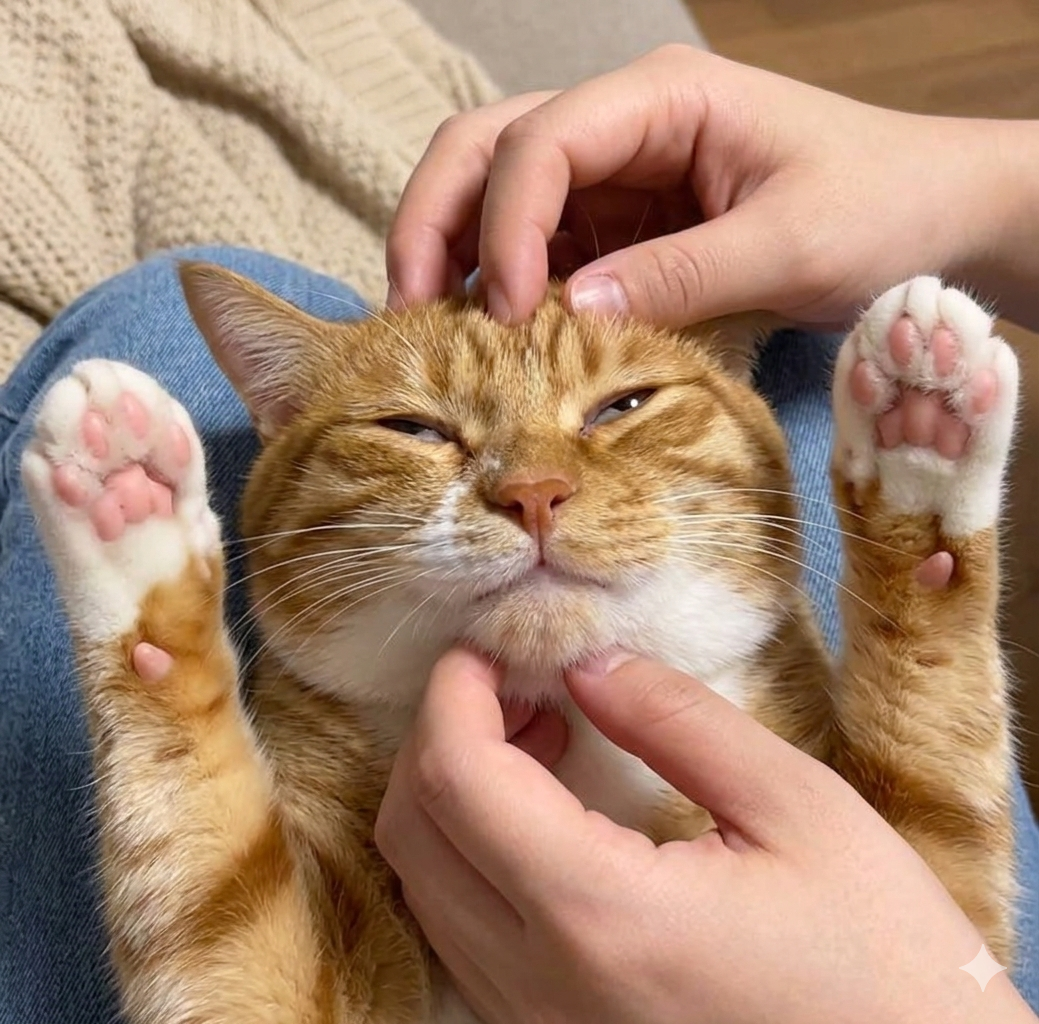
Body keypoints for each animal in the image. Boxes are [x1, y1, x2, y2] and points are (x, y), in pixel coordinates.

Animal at [21, 265, 1019, 1024]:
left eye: (621, 407)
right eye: (414, 428)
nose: (533, 492)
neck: (565, 727)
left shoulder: (932, 907)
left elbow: (937, 737)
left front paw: (922, 433)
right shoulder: (251, 979)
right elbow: (205, 873)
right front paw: (126, 505)